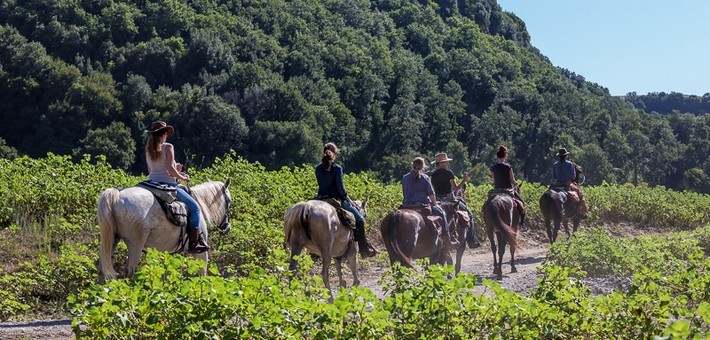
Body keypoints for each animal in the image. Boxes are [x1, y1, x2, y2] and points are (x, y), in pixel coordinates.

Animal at [97, 178, 234, 282]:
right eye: (229, 201)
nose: (227, 227)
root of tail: (118, 195)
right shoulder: (200, 253)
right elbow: (202, 273)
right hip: (135, 245)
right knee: (129, 271)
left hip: (112, 240)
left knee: (101, 267)